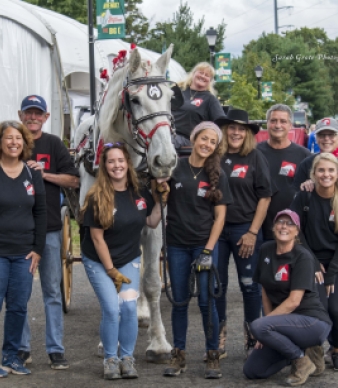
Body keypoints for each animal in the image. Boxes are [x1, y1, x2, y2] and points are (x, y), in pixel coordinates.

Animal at [75, 45, 178, 364]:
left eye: (170, 98)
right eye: (134, 99)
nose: (165, 160)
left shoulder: (153, 226)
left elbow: (152, 281)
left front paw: (159, 342)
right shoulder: (93, 231)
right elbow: (108, 282)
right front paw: (108, 340)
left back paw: (141, 311)